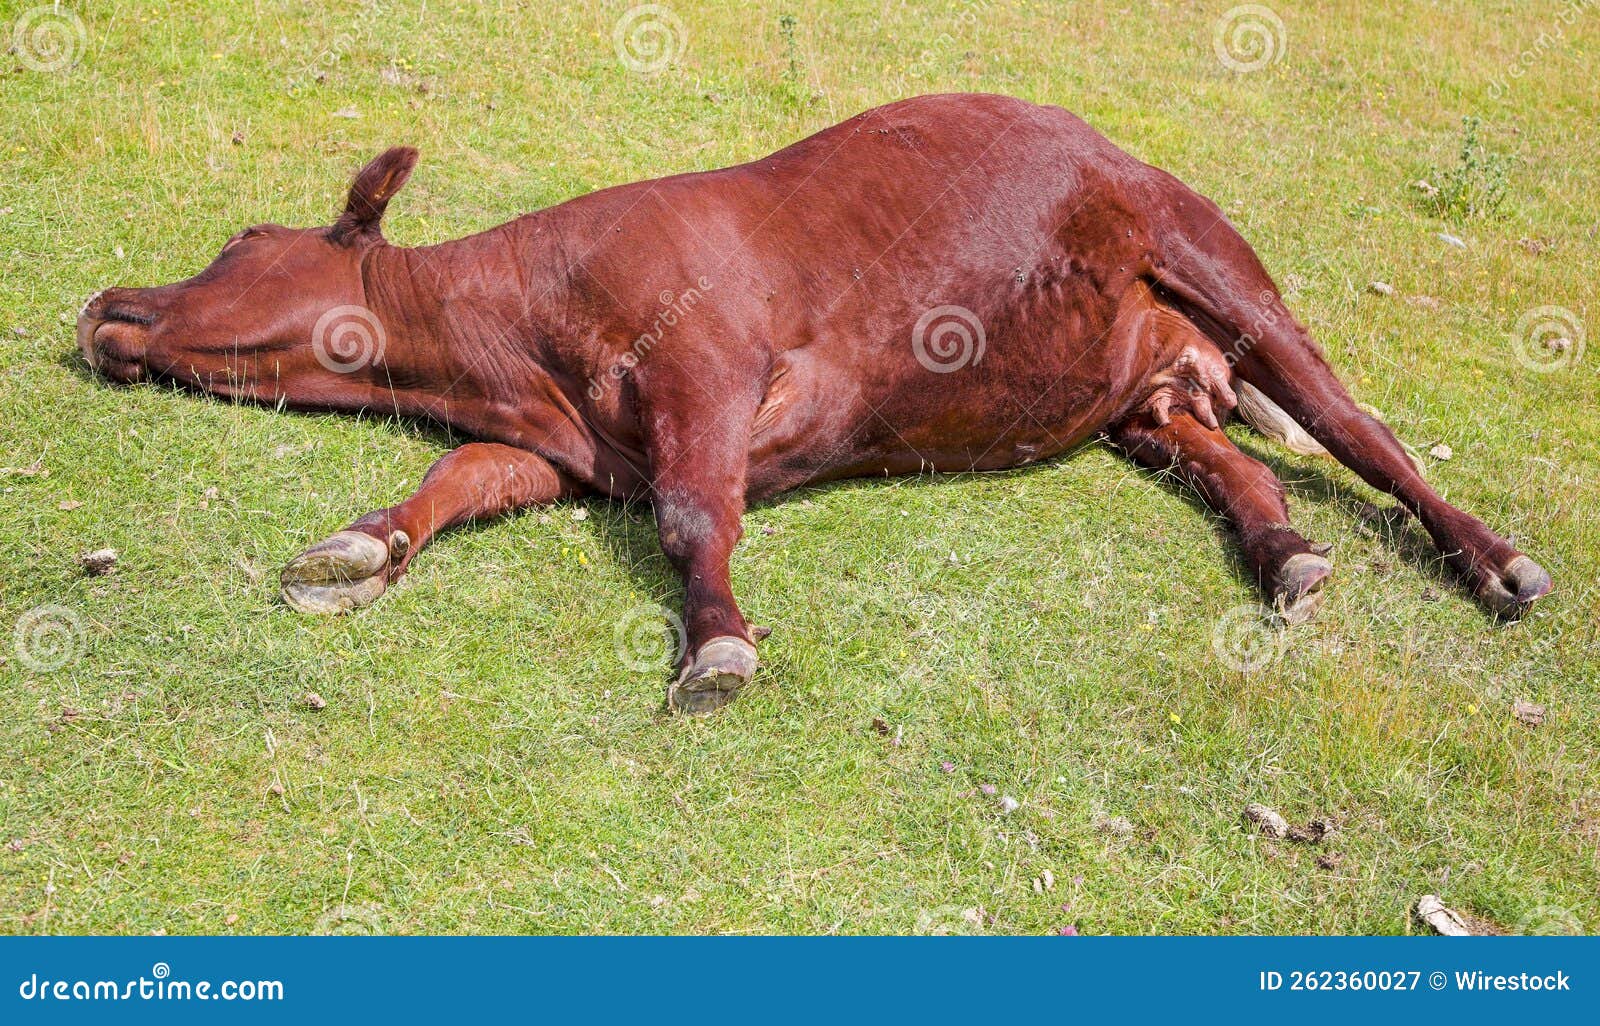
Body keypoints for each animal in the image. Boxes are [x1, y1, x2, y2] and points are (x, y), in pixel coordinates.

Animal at [78, 93, 1551, 713]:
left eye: (243, 238)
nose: (105, 305)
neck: (516, 340)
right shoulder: (558, 450)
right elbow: (453, 483)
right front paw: (360, 544)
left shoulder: (710, 367)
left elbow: (693, 516)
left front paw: (719, 641)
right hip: (1131, 386)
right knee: (1225, 460)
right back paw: (1287, 554)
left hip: (1210, 254)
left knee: (1360, 430)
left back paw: (1493, 560)